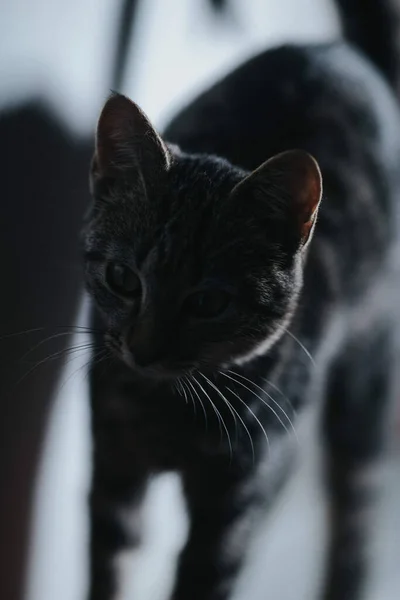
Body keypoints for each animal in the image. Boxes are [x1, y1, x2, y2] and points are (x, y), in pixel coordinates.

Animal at [83, 1, 400, 600]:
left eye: (209, 302)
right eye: (122, 277)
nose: (143, 350)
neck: (167, 406)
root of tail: (347, 53)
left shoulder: (233, 498)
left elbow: (208, 573)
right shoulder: (113, 468)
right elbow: (110, 568)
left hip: (362, 392)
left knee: (354, 517)